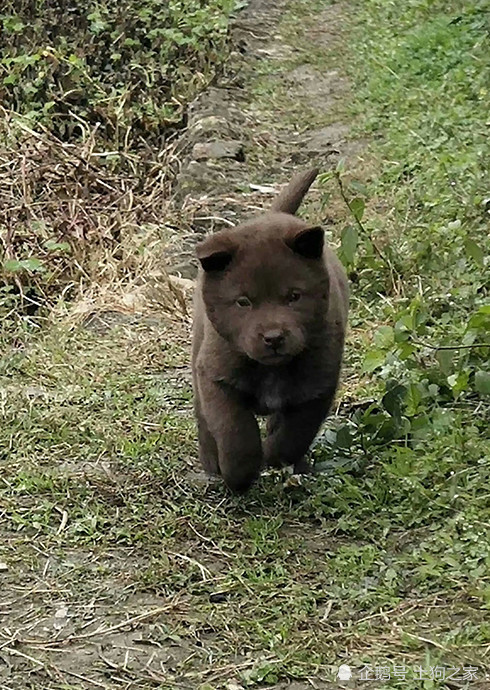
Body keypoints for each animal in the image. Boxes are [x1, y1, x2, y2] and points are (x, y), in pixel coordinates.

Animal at [191, 169, 348, 492]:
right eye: (243, 302)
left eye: (294, 296)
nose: (273, 338)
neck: (271, 369)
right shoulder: (216, 376)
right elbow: (235, 431)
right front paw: (238, 475)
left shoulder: (318, 383)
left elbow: (295, 432)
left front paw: (277, 457)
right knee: (203, 417)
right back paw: (211, 461)